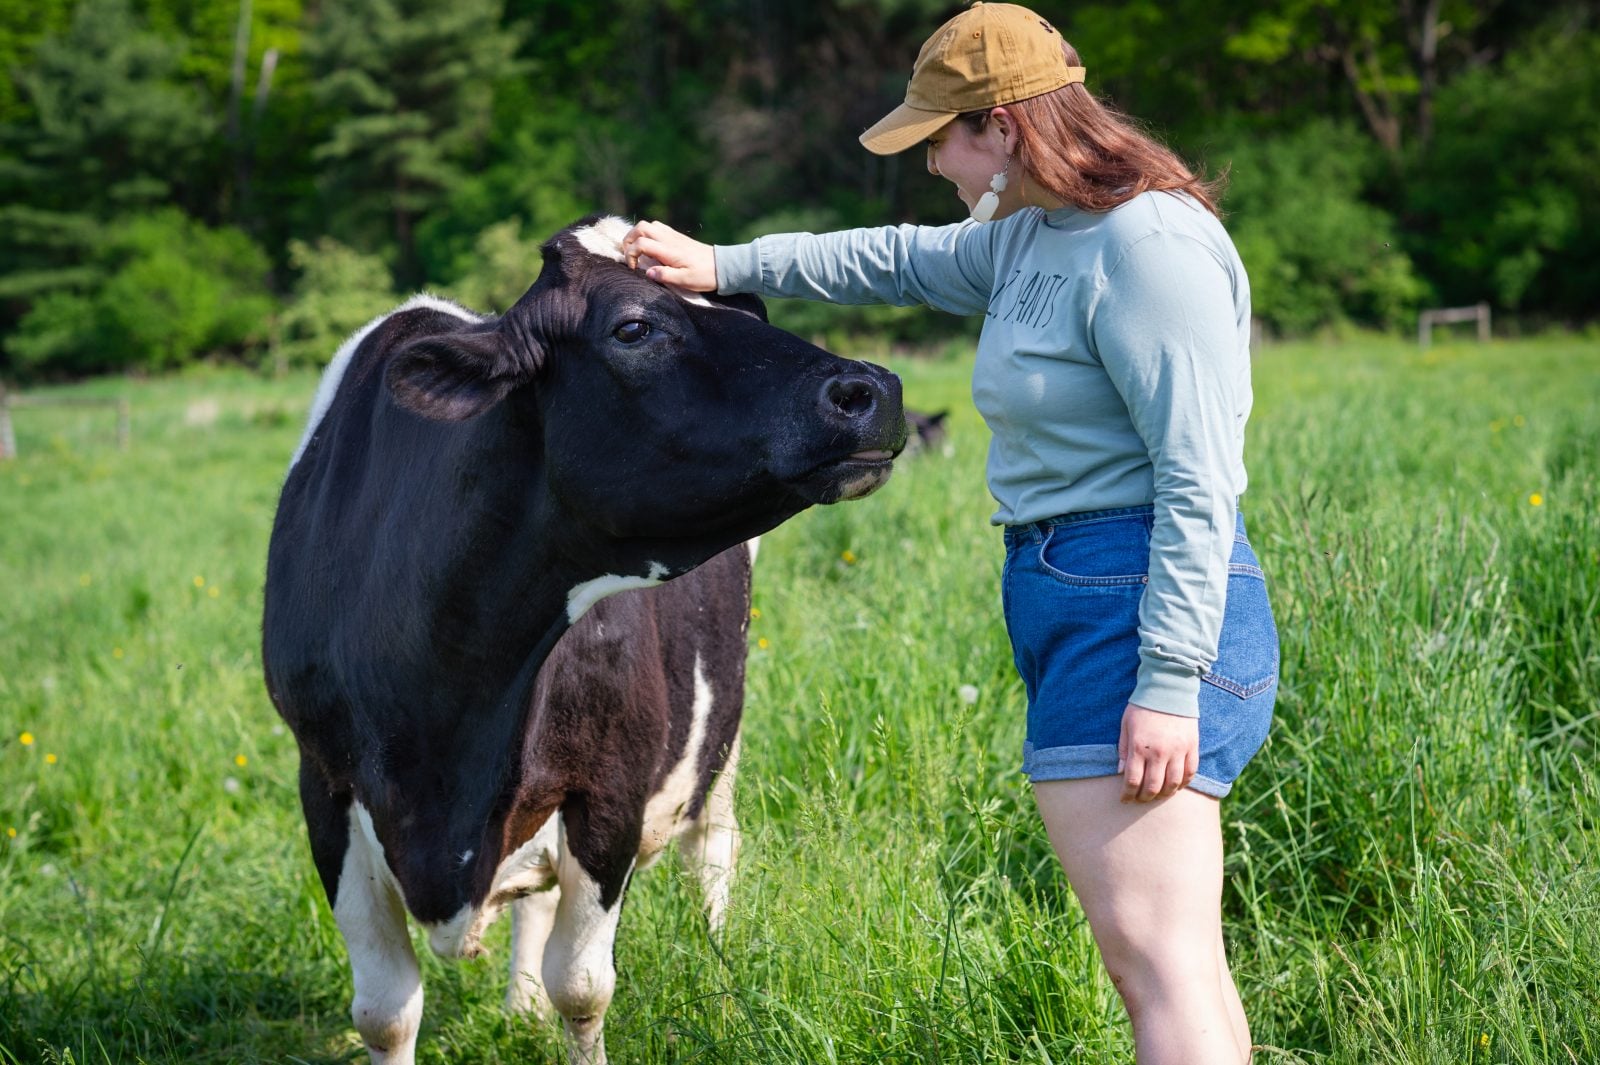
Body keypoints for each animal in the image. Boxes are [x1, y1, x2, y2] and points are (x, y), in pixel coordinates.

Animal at [261, 215, 906, 1065]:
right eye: (633, 327)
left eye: (745, 309)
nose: (875, 389)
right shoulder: (325, 784)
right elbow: (385, 1010)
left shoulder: (610, 783)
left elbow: (584, 984)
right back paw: (520, 1005)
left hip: (723, 729)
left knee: (713, 850)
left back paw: (720, 976)